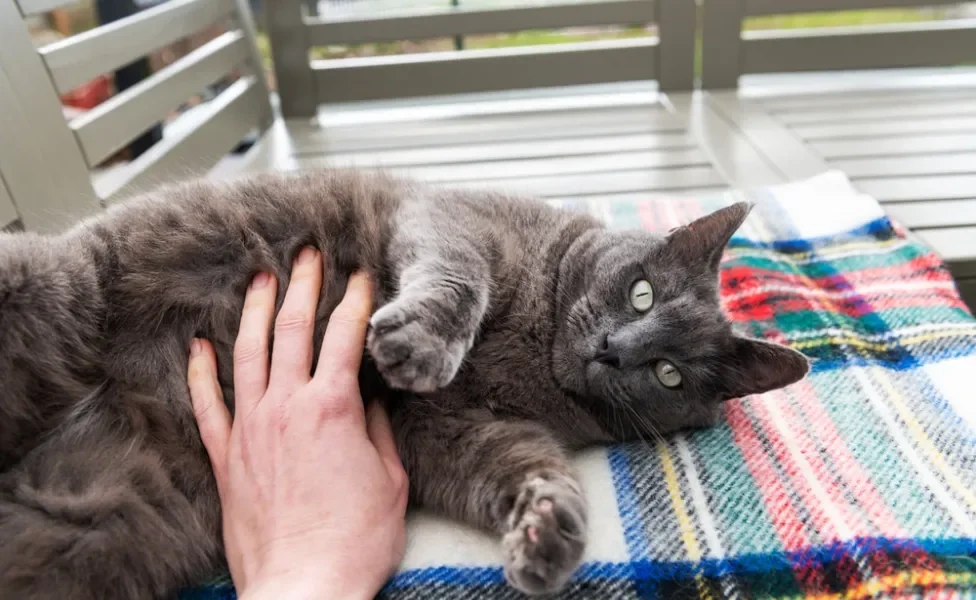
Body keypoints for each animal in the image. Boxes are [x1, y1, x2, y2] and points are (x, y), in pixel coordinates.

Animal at [0, 166, 808, 596]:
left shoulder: (447, 430)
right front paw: (419, 345)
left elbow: (513, 462)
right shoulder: (457, 218)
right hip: (63, 280)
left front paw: (551, 528)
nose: (614, 349)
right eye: (640, 294)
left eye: (668, 373)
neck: (539, 342)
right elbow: (459, 274)